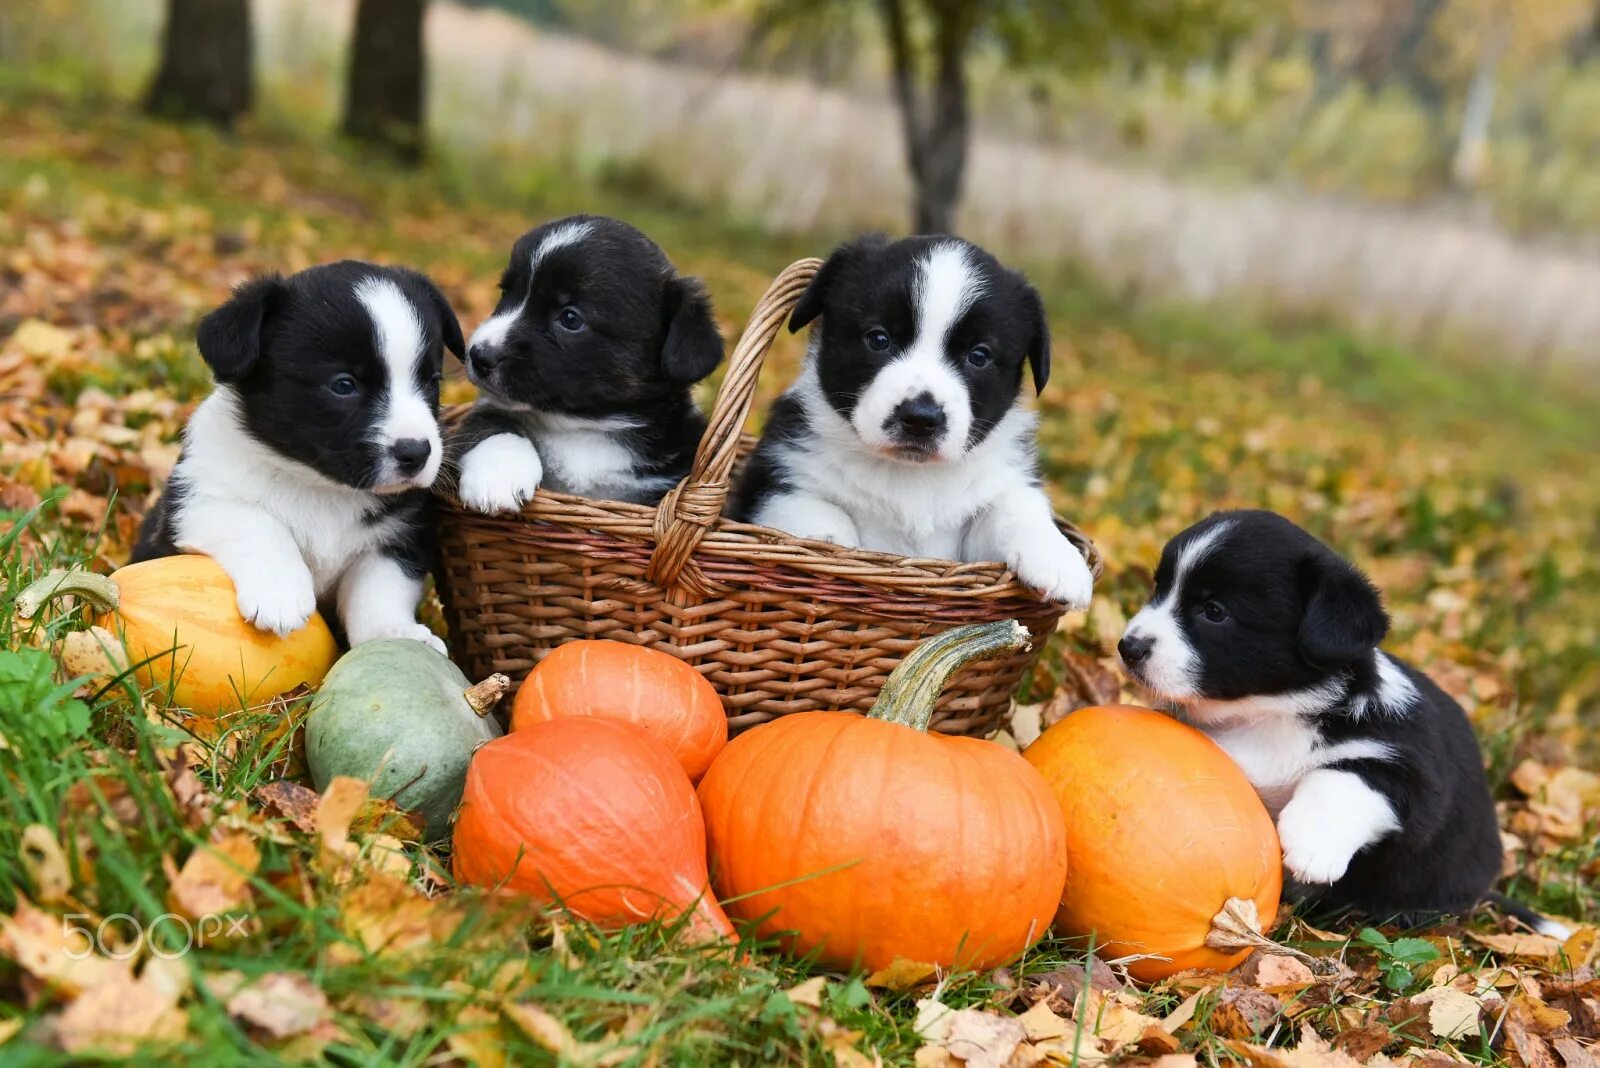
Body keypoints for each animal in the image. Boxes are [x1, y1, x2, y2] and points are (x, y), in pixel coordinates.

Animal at [132, 262, 464, 655]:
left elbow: (380, 589)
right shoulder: (196, 502)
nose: (416, 452)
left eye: (431, 381)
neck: (319, 486)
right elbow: (256, 522)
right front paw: (280, 593)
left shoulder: (399, 535)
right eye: (343, 384)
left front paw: (394, 633)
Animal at [451, 214, 726, 511]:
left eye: (571, 318)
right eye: (505, 293)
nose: (478, 355)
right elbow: (493, 423)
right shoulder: (486, 411)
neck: (583, 428)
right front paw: (498, 476)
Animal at [729, 238, 1094, 613]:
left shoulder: (972, 537)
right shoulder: (770, 482)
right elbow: (815, 512)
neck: (909, 477)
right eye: (878, 339)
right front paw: (831, 547)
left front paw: (1059, 561)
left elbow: (1015, 507)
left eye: (979, 356)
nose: (921, 417)